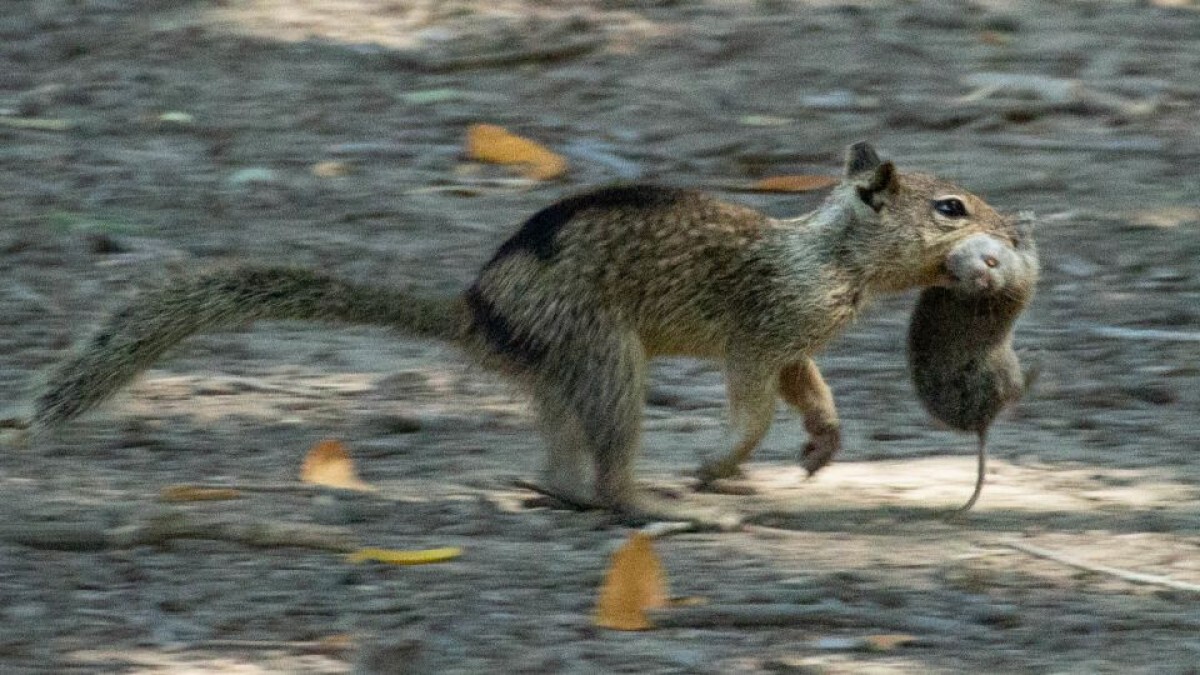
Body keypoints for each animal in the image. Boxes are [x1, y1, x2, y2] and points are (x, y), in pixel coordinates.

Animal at [28, 141, 1017, 528]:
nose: (1012, 231)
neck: (831, 254)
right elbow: (753, 405)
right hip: (607, 357)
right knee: (610, 466)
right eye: (950, 207)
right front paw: (721, 461)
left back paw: (558, 491)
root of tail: (474, 310)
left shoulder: (796, 343)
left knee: (560, 457)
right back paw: (657, 502)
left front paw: (823, 443)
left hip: (564, 373)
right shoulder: (762, 328)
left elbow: (809, 389)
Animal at [902, 214, 1036, 509]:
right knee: (1016, 393)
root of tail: (980, 424)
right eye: (957, 276)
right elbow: (1031, 257)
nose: (984, 281)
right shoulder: (1024, 275)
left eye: (991, 261)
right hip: (1004, 371)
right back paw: (1037, 364)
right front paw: (1022, 224)